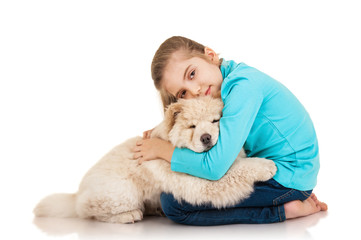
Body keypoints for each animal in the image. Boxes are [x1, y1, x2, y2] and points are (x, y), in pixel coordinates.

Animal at [34, 95, 276, 223]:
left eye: (215, 121)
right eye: (192, 126)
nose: (206, 138)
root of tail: (76, 194)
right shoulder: (198, 183)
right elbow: (236, 170)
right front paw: (266, 165)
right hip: (123, 192)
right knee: (91, 212)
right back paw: (129, 215)